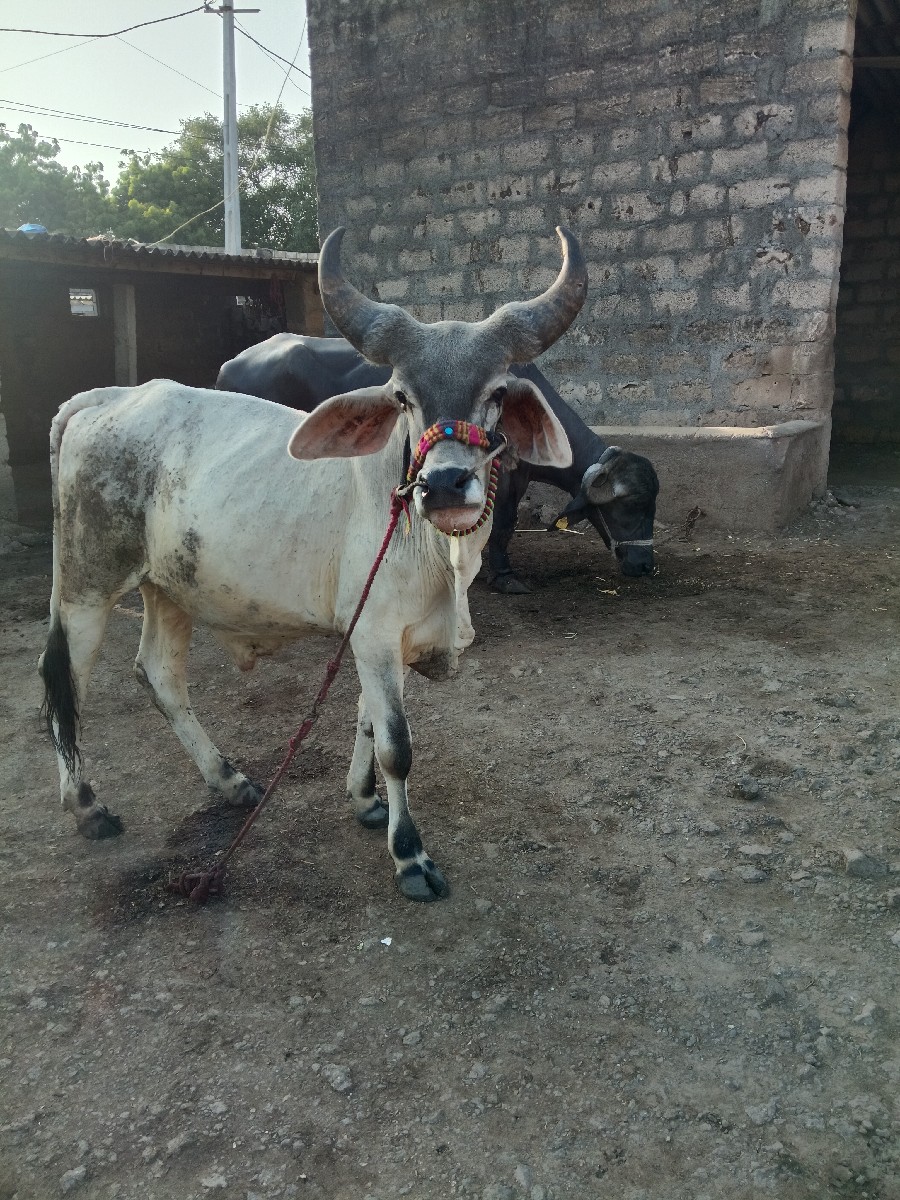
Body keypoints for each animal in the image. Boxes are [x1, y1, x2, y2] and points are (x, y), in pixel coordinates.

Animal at [39, 225, 586, 902]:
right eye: (402, 395)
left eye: (497, 392)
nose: (444, 485)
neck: (440, 556)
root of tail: (109, 397)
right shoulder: (374, 634)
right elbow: (397, 746)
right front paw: (410, 855)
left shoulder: (386, 635)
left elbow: (367, 723)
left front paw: (365, 801)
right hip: (86, 584)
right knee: (64, 677)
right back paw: (87, 804)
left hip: (169, 587)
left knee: (160, 674)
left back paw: (229, 780)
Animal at [217, 338, 659, 594]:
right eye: (629, 505)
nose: (644, 566)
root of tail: (230, 365)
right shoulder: (504, 480)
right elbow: (503, 525)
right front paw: (503, 576)